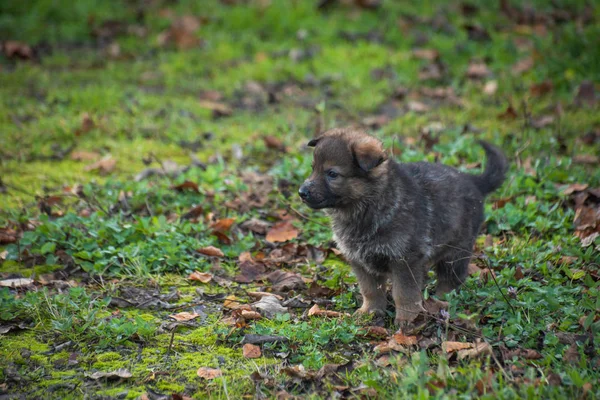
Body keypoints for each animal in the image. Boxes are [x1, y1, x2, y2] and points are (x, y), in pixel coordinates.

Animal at [298, 128, 506, 324]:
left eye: (332, 174)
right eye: (313, 168)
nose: (301, 192)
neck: (367, 205)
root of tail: (473, 181)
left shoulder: (405, 259)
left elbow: (404, 293)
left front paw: (408, 319)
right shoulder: (359, 260)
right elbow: (370, 290)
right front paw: (370, 312)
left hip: (456, 251)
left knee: (451, 279)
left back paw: (441, 301)